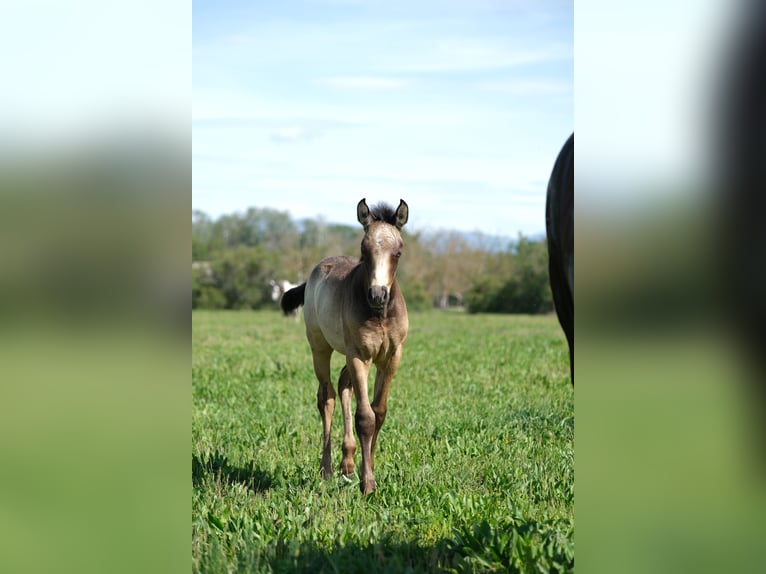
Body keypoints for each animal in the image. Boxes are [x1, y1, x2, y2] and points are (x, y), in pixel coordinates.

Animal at [282, 198, 412, 496]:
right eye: (364, 250)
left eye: (398, 252)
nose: (377, 295)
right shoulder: (359, 356)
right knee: (326, 396)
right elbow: (365, 417)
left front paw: (369, 466)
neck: (379, 315)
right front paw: (368, 483)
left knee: (343, 385)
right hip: (320, 347)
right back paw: (328, 469)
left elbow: (379, 412)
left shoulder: (392, 357)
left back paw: (348, 463)